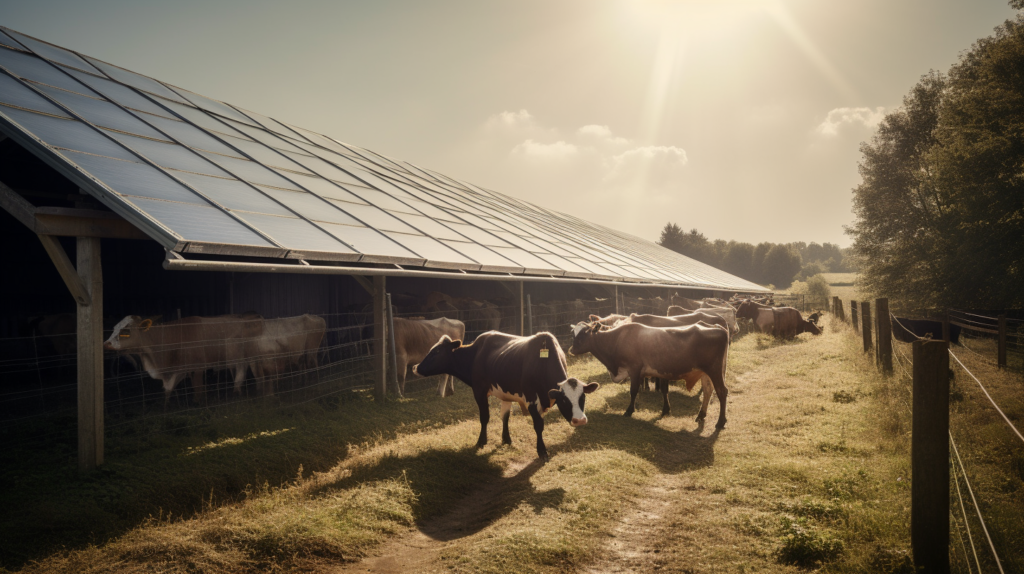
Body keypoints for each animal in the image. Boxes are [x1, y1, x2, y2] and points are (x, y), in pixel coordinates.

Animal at [569, 323, 729, 425]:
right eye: (573, 334)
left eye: (585, 333)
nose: (571, 349)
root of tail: (717, 327)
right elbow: (664, 390)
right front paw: (665, 410)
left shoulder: (635, 369)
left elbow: (633, 391)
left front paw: (629, 410)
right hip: (706, 373)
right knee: (708, 391)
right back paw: (701, 415)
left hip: (715, 370)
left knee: (722, 391)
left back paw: (720, 422)